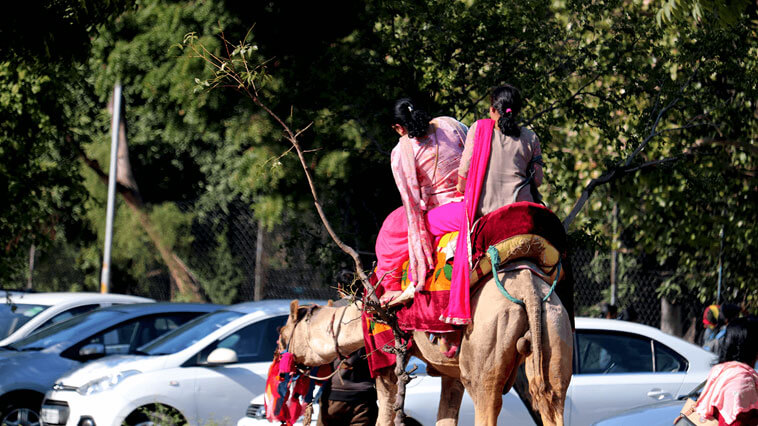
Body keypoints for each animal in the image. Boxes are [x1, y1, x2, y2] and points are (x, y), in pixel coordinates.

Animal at [282, 270, 572, 426]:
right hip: (554, 323)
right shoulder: (451, 372)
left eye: (282, 336)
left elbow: (385, 415)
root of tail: (529, 288)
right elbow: (445, 417)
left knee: (488, 402)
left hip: (487, 345)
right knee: (552, 401)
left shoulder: (387, 358)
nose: (282, 363)